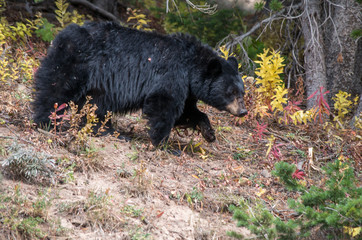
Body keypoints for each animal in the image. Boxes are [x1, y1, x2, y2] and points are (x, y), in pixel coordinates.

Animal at [32, 22, 247, 146]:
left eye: (242, 92)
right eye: (231, 92)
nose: (243, 111)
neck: (191, 66)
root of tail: (63, 33)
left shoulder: (187, 89)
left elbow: (187, 111)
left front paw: (208, 132)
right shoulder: (171, 75)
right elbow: (164, 104)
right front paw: (163, 143)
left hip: (98, 83)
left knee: (96, 106)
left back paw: (109, 131)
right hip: (76, 64)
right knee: (56, 89)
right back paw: (46, 121)